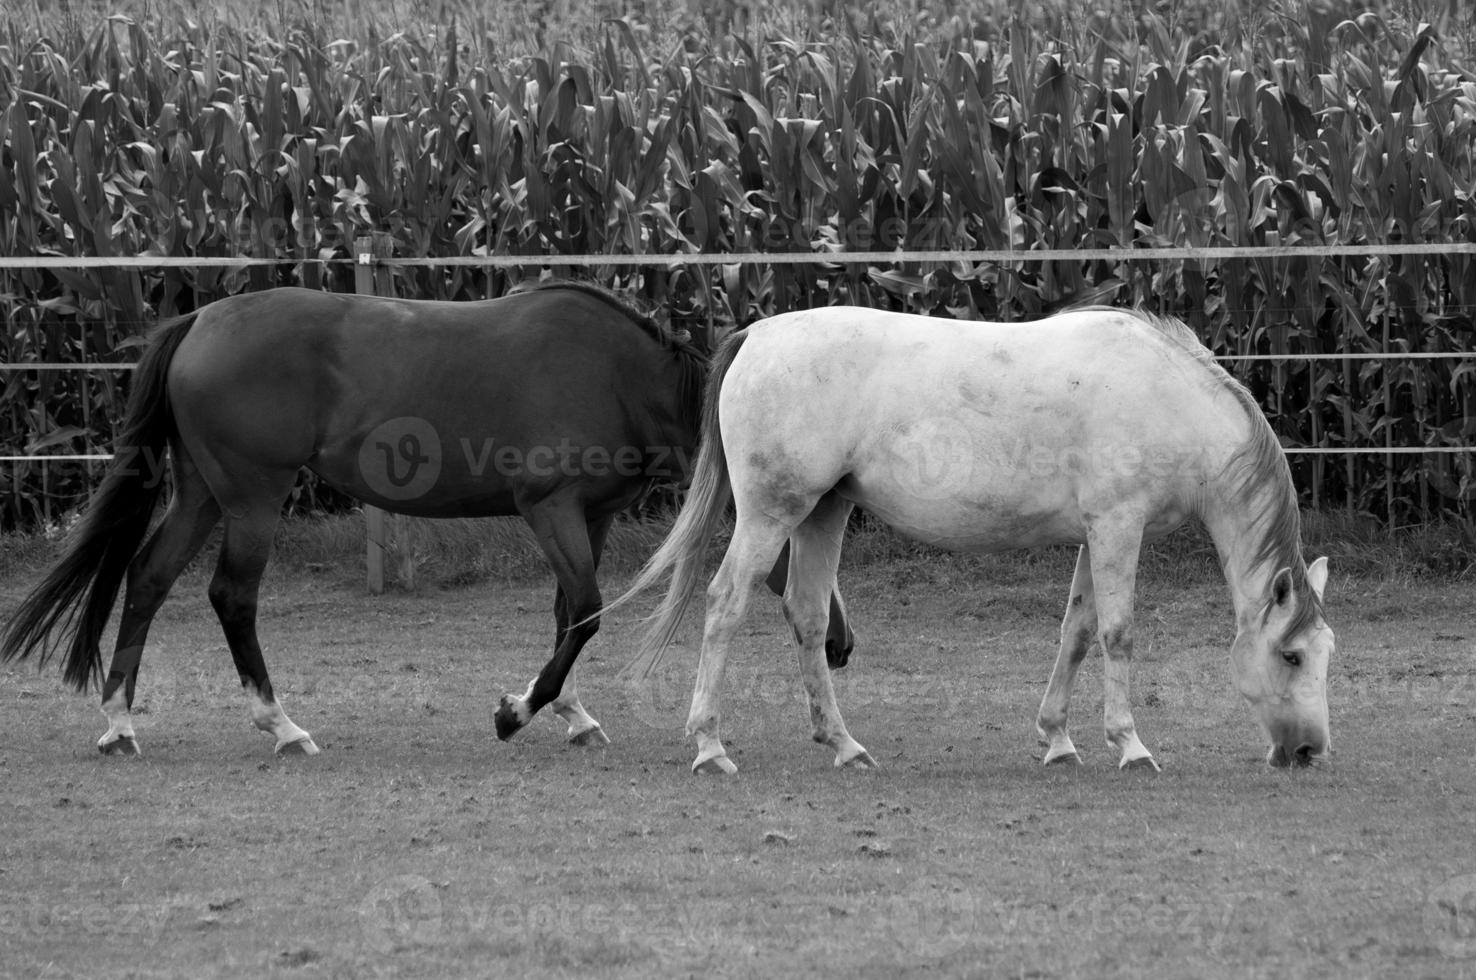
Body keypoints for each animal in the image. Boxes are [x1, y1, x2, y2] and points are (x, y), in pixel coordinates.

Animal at [0, 281, 856, 755]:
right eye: (795, 523)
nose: (841, 643)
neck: (617, 375)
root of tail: (198, 322)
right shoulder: (549, 510)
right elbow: (583, 612)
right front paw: (519, 712)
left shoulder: (591, 519)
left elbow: (567, 615)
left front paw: (567, 713)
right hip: (251, 497)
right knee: (231, 597)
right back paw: (282, 726)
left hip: (203, 492)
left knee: (147, 579)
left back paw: (120, 724)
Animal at [599, 304, 1340, 773]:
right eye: (1294, 656)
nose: (1308, 752)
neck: (1168, 398)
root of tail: (757, 334)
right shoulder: (1118, 528)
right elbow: (1118, 633)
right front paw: (1130, 746)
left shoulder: (1094, 536)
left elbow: (1076, 631)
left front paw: (1059, 740)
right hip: (770, 515)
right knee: (724, 604)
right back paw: (709, 747)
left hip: (822, 513)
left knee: (807, 618)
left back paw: (843, 745)